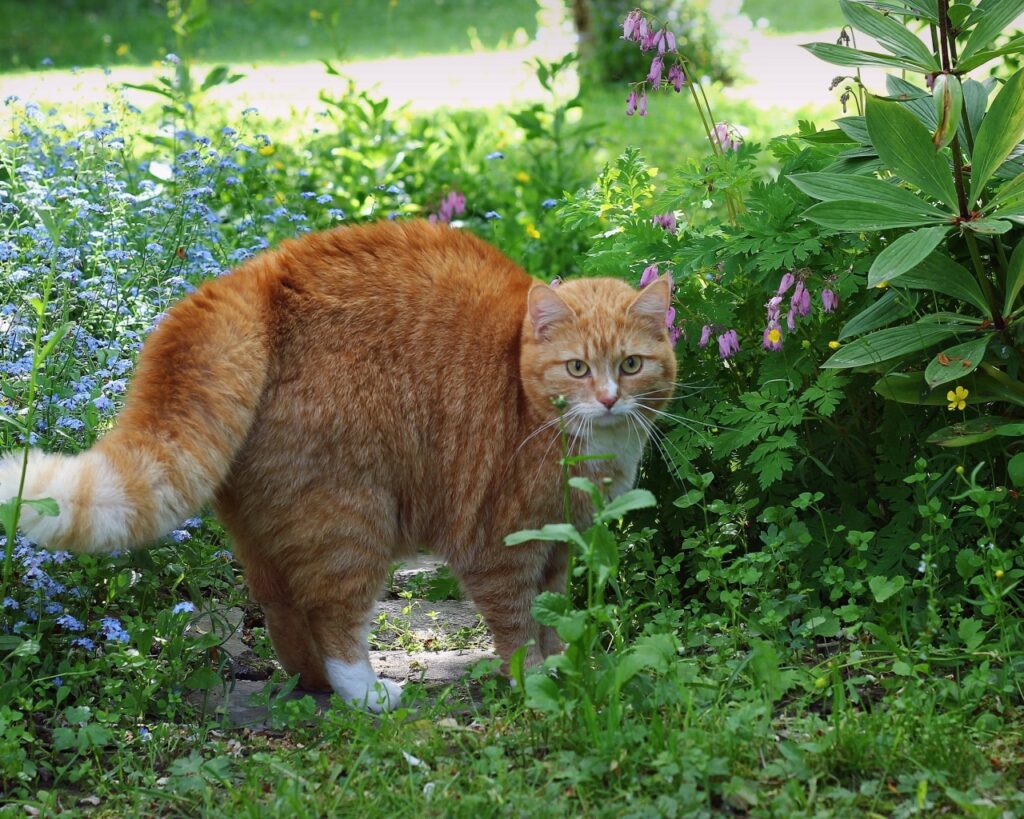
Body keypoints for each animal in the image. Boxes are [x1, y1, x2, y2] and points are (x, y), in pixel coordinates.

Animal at [2, 219, 679, 708]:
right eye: (577, 368)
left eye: (632, 365)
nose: (610, 399)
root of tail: (258, 275)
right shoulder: (498, 547)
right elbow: (518, 628)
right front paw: (535, 683)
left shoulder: (561, 546)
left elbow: (552, 618)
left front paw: (563, 668)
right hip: (351, 518)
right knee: (334, 617)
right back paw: (365, 692)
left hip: (269, 529)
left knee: (283, 612)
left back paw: (318, 684)